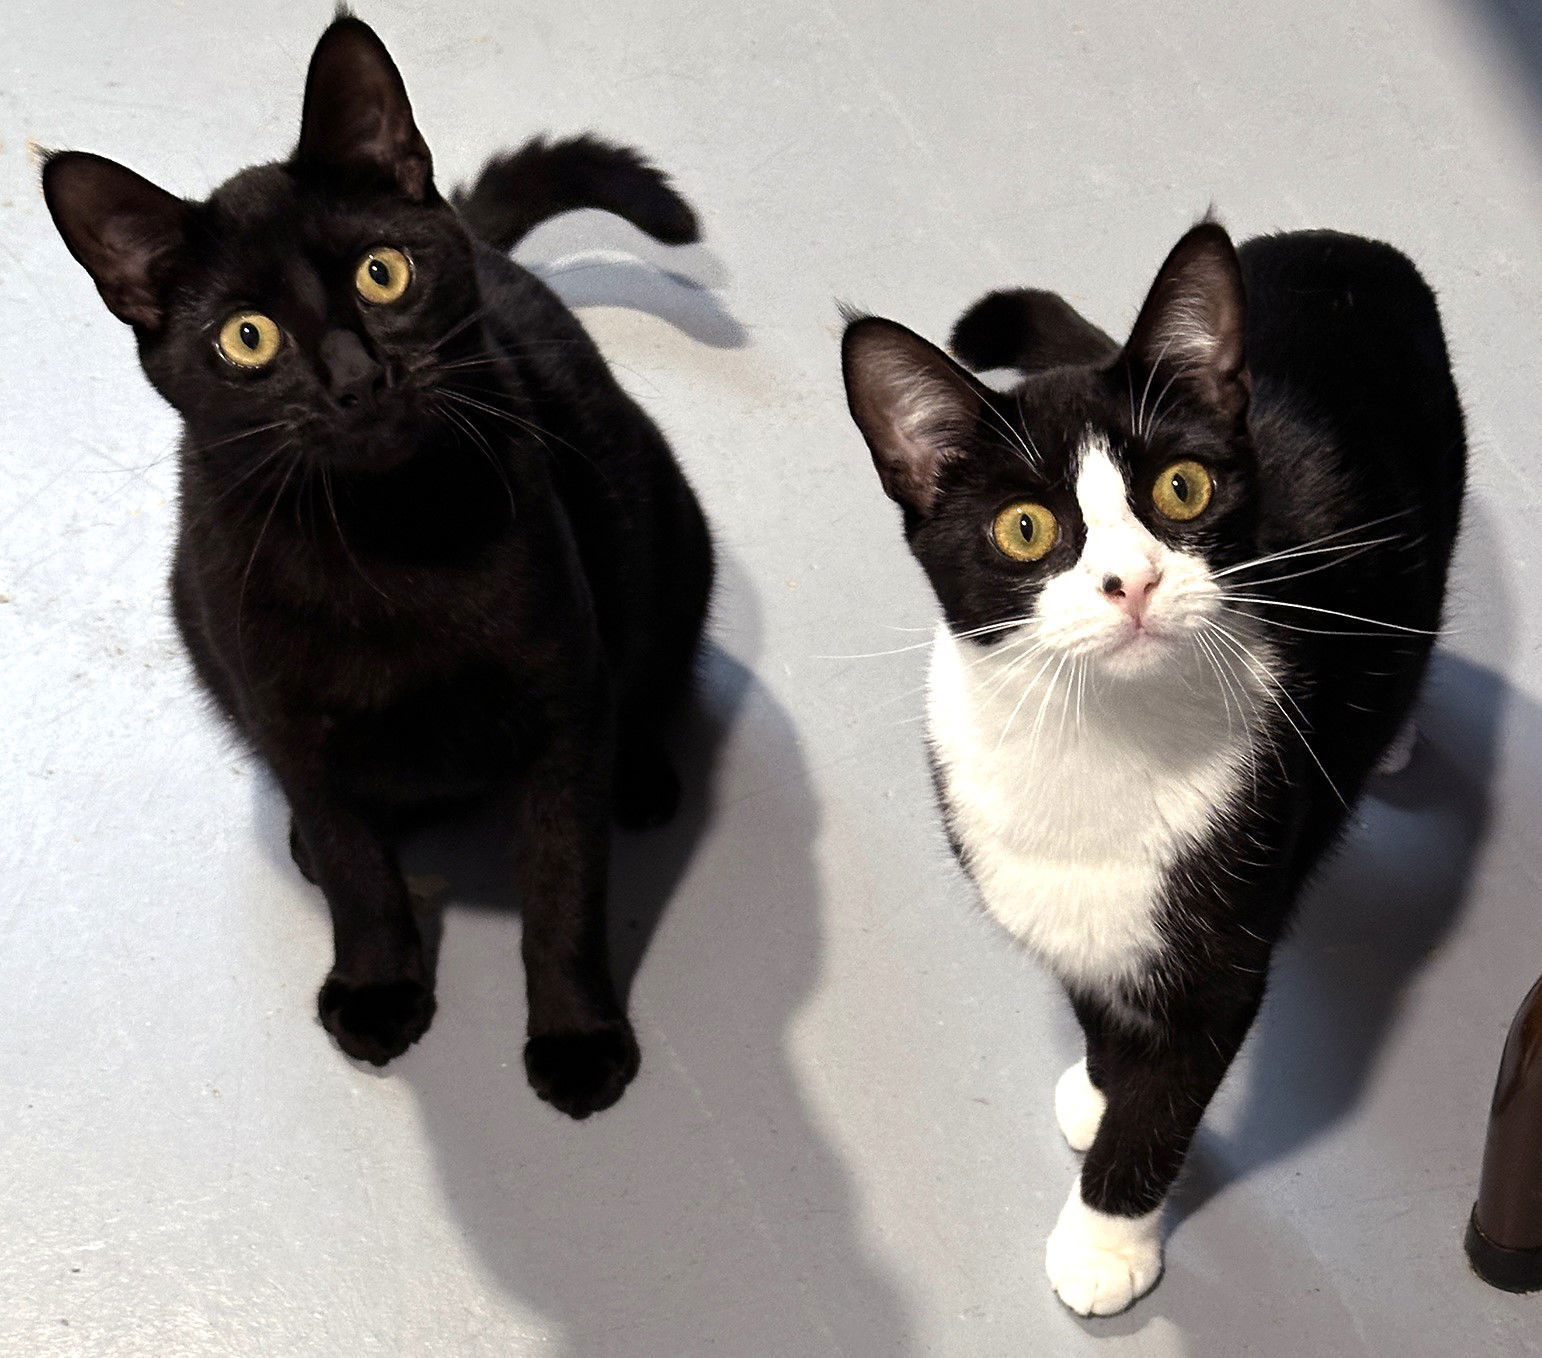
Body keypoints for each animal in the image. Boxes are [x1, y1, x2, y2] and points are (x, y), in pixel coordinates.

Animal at [43, 13, 715, 1109]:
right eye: (247, 338)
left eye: (382, 273)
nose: (358, 378)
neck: (383, 542)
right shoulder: (292, 716)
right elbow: (359, 869)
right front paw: (377, 986)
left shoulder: (561, 705)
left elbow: (564, 885)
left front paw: (576, 1037)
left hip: (662, 518)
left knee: (654, 666)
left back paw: (643, 773)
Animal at [845, 225, 1467, 1313]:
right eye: (1025, 528)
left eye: (1183, 486)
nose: (1131, 581)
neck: (1101, 737)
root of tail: (1351, 244)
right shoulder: (1056, 897)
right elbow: (1098, 1006)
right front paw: (1102, 1085)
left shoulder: (1227, 944)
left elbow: (1169, 1099)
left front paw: (1105, 1239)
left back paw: (1393, 733)